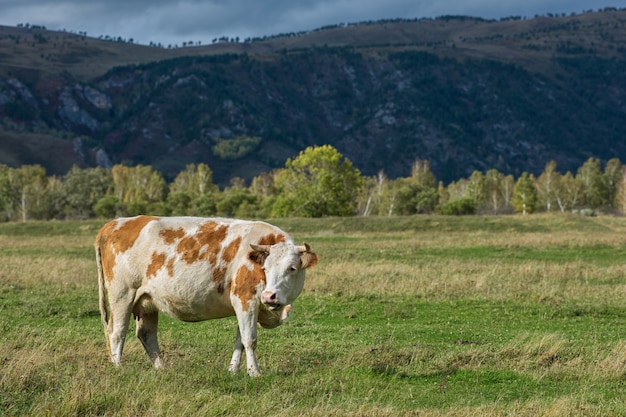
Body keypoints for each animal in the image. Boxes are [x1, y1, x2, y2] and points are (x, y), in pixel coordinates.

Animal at [95, 216, 316, 376]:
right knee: (117, 332)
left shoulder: (245, 305)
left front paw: (233, 370)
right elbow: (249, 339)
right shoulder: (245, 298)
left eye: (292, 268)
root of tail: (114, 223)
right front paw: (254, 373)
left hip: (146, 302)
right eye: (266, 268)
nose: (270, 296)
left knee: (146, 334)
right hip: (122, 296)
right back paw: (118, 368)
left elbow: (239, 340)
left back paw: (162, 368)